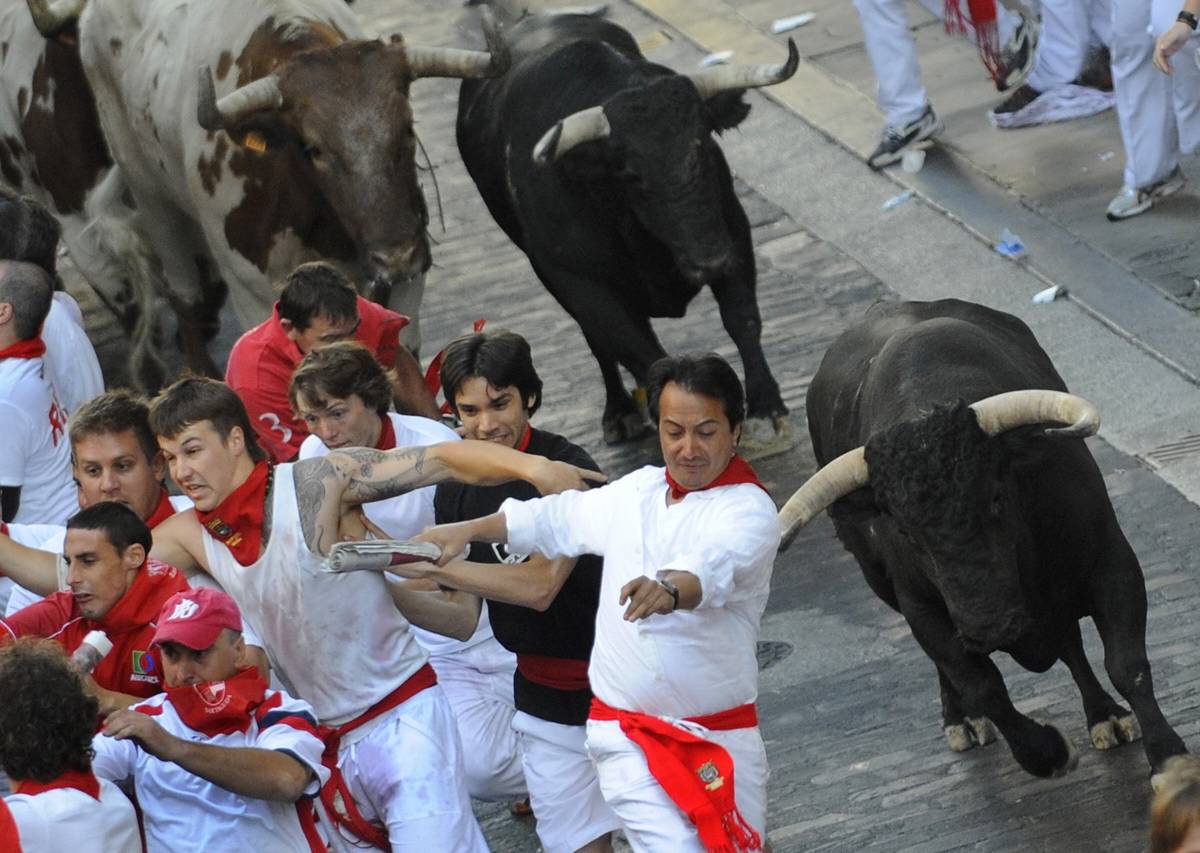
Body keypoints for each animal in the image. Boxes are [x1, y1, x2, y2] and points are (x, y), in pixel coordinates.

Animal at [28, 0, 506, 374]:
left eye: (406, 128)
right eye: (312, 148)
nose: (397, 255)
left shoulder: (406, 282)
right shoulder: (252, 294)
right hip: (148, 191)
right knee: (185, 292)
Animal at [453, 13, 792, 446]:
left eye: (703, 144)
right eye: (631, 173)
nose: (710, 260)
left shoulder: (733, 229)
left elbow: (742, 318)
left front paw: (767, 410)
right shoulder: (577, 282)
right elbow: (636, 349)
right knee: (601, 344)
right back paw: (620, 412)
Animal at [787, 299, 1180, 782]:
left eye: (995, 497)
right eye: (904, 530)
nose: (987, 625)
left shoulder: (1111, 563)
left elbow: (1127, 663)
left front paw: (1168, 755)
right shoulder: (925, 613)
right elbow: (982, 686)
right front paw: (1047, 752)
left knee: (1071, 644)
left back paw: (1104, 714)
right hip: (886, 588)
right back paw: (962, 721)